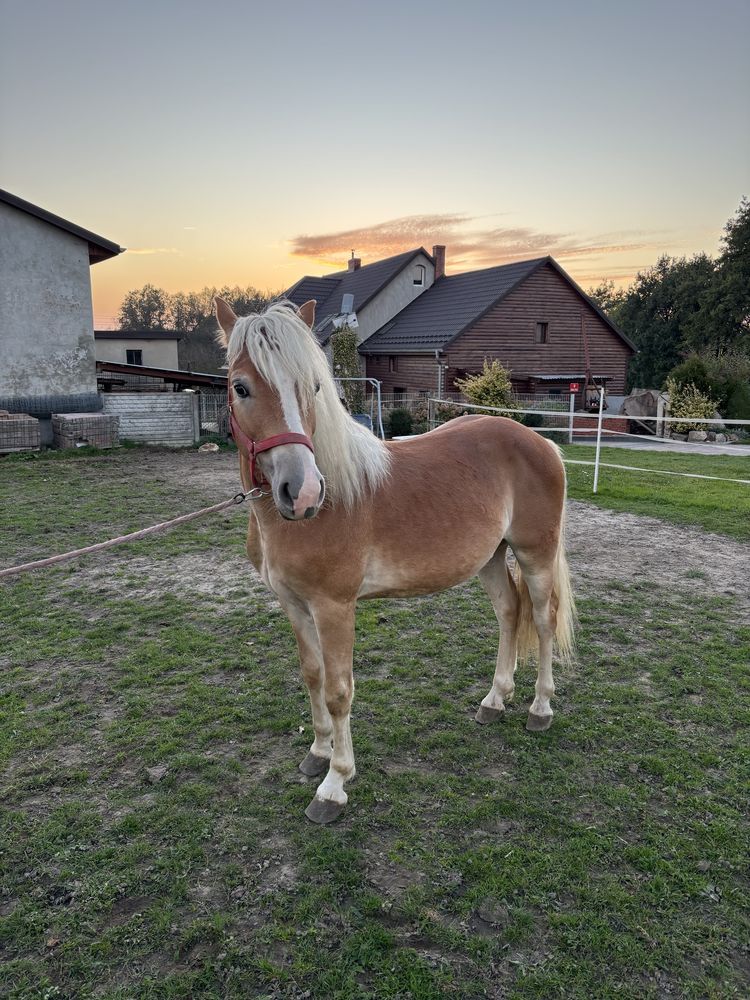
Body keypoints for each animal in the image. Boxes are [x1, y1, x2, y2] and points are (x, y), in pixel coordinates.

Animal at [214, 294, 580, 820]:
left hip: (535, 553)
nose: (302, 492)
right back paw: (494, 700)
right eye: (240, 387)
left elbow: (338, 690)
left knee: (544, 619)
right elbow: (312, 676)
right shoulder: (293, 604)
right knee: (510, 612)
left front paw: (334, 783)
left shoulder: (334, 607)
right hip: (491, 558)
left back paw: (540, 708)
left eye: (314, 386)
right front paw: (317, 752)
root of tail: (540, 441)